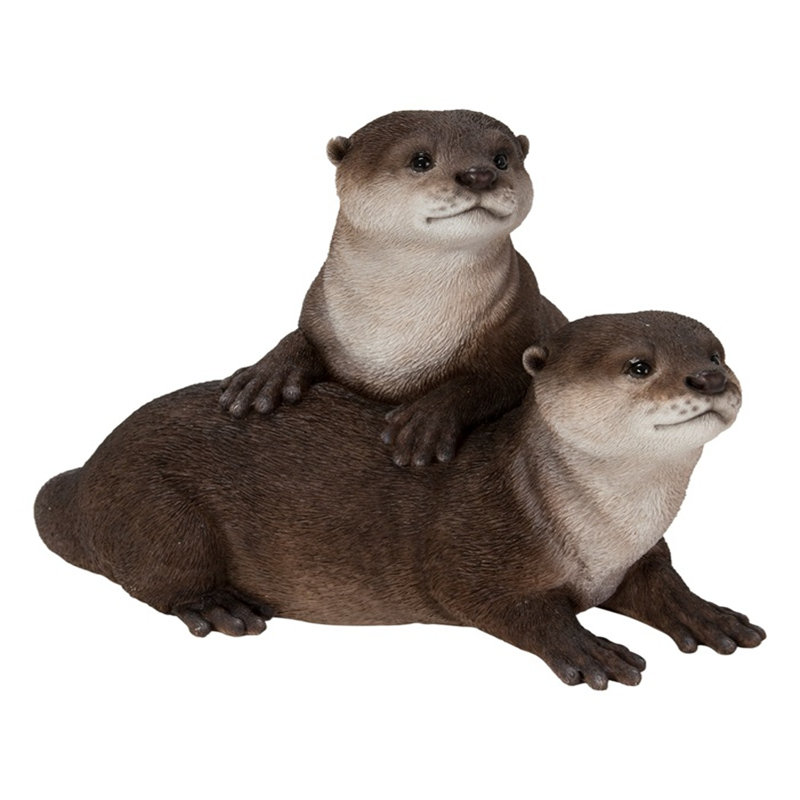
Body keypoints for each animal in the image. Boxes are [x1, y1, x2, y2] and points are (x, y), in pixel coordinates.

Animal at [35, 312, 764, 689]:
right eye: (639, 366)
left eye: (716, 351)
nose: (710, 379)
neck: (601, 529)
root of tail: (90, 472)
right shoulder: (478, 547)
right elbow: (512, 607)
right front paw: (589, 650)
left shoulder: (631, 556)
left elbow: (660, 584)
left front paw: (707, 615)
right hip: (159, 511)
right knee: (157, 581)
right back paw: (220, 607)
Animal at [219, 109, 567, 466]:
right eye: (421, 160)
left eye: (501, 159)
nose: (480, 175)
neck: (397, 340)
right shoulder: (318, 313)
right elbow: (302, 337)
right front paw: (264, 376)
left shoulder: (522, 321)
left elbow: (489, 381)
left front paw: (426, 422)